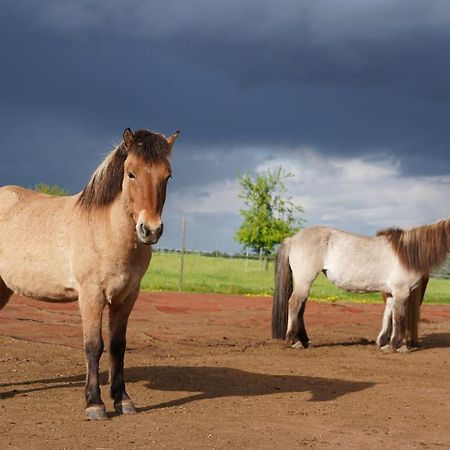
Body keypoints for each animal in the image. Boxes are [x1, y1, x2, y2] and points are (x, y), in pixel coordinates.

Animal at [0, 126, 179, 418]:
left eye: (168, 176)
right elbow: (94, 346)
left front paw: (122, 400)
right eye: (131, 173)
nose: (150, 230)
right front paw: (95, 403)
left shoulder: (126, 298)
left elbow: (118, 346)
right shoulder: (91, 296)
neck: (105, 229)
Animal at [272, 221, 448, 352]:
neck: (406, 254)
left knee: (300, 308)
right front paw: (396, 346)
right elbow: (398, 318)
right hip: (304, 280)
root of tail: (293, 239)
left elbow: (387, 316)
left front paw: (383, 343)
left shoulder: (391, 294)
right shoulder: (401, 292)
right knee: (294, 304)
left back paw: (305, 341)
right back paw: (294, 341)